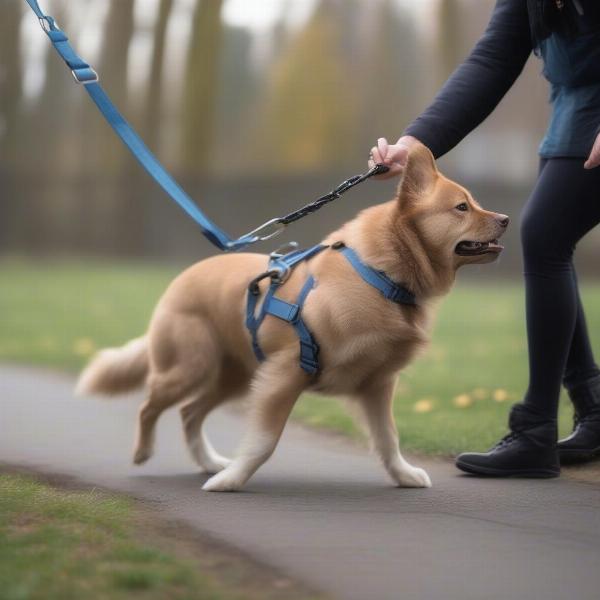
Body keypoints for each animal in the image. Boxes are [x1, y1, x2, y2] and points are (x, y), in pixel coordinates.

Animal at [75, 145, 506, 492]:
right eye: (462, 207)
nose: (504, 219)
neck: (380, 277)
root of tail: (182, 278)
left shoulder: (377, 385)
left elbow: (388, 439)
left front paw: (403, 474)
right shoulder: (286, 373)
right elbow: (264, 442)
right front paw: (232, 481)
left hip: (236, 376)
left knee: (188, 413)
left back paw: (209, 462)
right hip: (191, 367)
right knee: (150, 406)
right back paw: (145, 452)